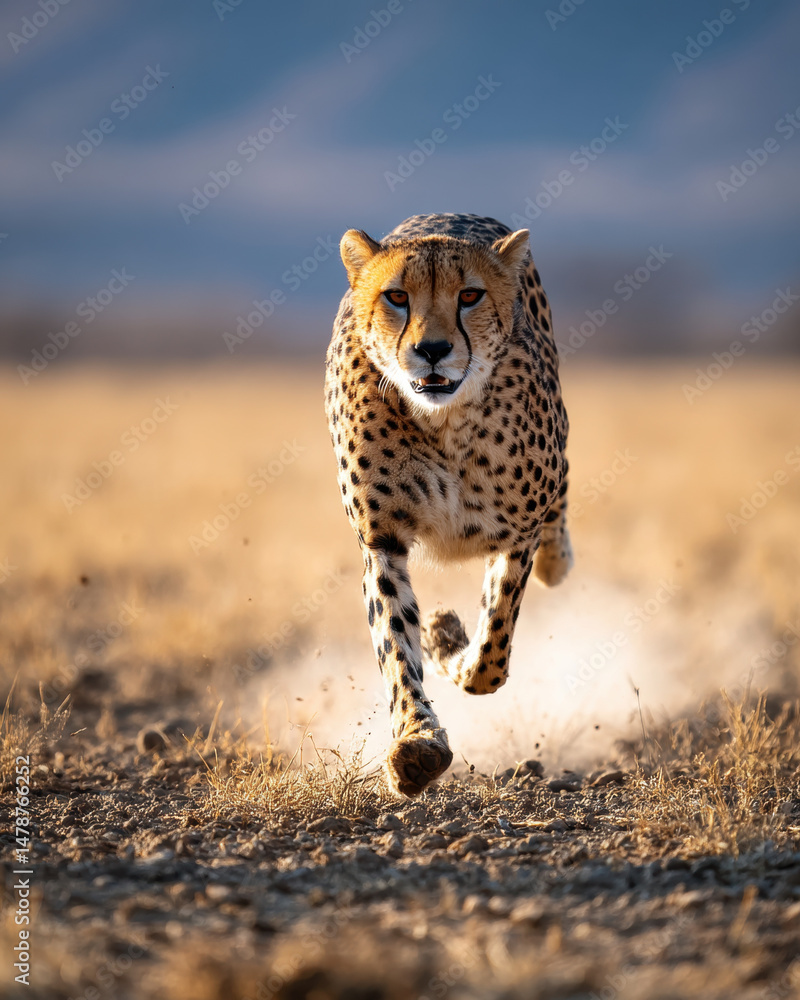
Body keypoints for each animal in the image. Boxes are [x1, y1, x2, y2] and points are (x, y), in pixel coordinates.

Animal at [324, 213, 572, 797]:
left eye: (470, 295)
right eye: (396, 296)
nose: (432, 349)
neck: (443, 421)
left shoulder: (517, 534)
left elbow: (491, 654)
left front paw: (446, 637)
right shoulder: (383, 543)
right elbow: (397, 648)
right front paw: (417, 744)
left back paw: (557, 562)